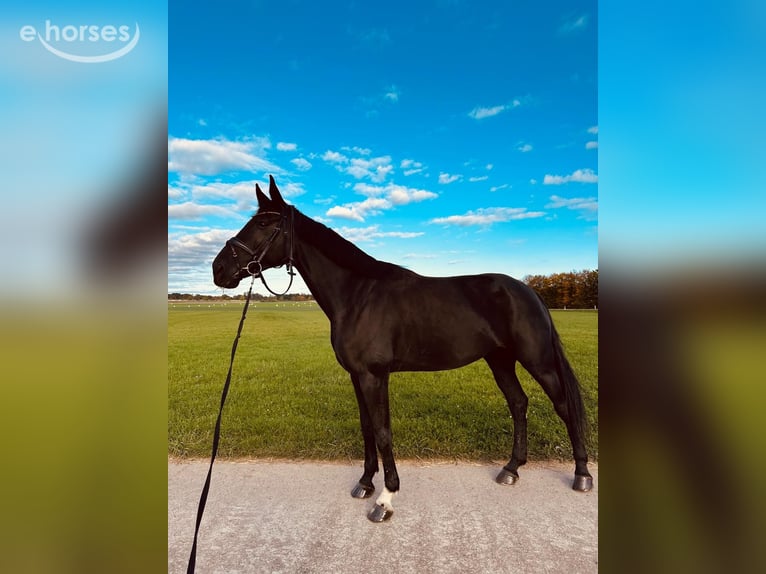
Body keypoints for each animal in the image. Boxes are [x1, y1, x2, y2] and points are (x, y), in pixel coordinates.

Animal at [212, 176, 593, 522]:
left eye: (263, 223)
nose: (219, 269)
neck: (358, 295)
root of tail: (528, 291)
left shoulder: (374, 376)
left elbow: (383, 432)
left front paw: (385, 499)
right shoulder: (357, 376)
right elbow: (367, 428)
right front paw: (365, 483)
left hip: (538, 360)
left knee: (563, 405)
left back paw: (582, 474)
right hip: (500, 360)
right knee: (518, 403)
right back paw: (511, 469)